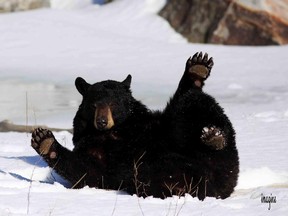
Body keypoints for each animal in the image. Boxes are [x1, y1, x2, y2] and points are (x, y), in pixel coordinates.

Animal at [31, 52, 238, 199]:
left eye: (114, 103)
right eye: (94, 105)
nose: (102, 122)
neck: (116, 130)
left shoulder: (149, 123)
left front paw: (197, 68)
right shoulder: (93, 147)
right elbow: (88, 171)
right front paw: (44, 140)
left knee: (192, 103)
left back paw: (213, 135)